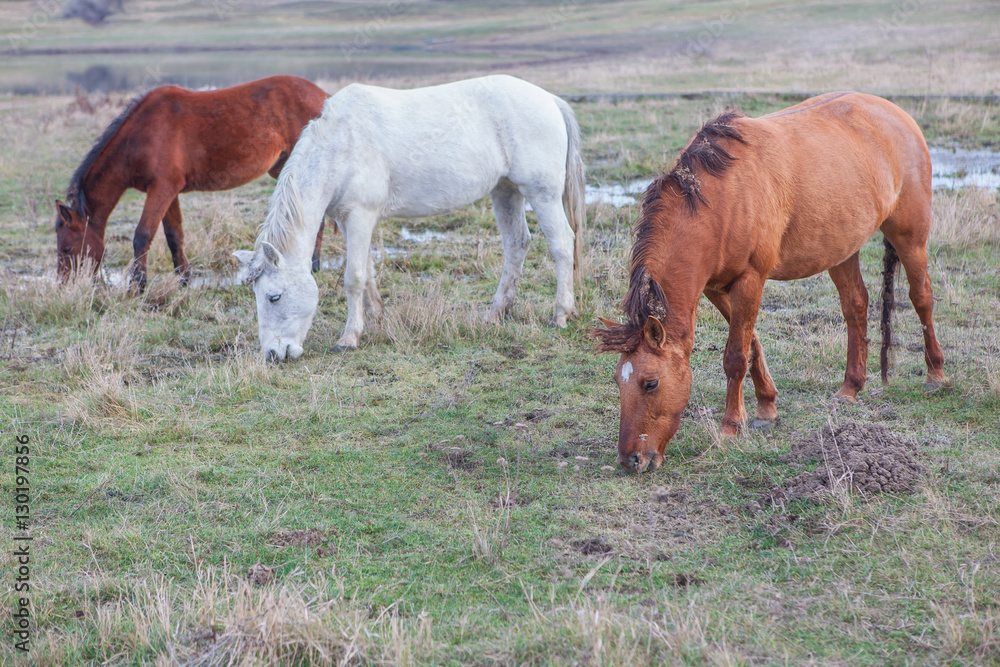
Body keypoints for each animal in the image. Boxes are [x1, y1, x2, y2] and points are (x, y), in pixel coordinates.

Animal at [55, 75, 329, 289]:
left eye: (66, 248)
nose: (65, 286)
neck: (139, 137)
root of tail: (324, 96)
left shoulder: (161, 190)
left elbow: (142, 235)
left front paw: (138, 285)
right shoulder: (168, 191)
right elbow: (173, 235)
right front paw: (183, 278)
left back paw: (313, 265)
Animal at [234, 74, 586, 361]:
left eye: (274, 297)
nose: (272, 354)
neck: (340, 144)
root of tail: (549, 99)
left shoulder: (359, 216)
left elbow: (353, 278)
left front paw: (349, 338)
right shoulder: (348, 220)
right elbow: (368, 273)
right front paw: (377, 319)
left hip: (542, 194)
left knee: (562, 244)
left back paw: (560, 315)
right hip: (505, 191)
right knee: (516, 244)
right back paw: (496, 313)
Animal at [593, 92, 947, 473]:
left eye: (650, 383)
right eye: (617, 382)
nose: (630, 460)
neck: (720, 195)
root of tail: (896, 113)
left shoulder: (751, 279)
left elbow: (735, 355)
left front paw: (731, 427)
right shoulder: (717, 287)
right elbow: (751, 344)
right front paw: (766, 407)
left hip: (910, 237)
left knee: (921, 296)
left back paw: (936, 375)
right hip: (842, 250)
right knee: (856, 305)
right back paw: (851, 388)